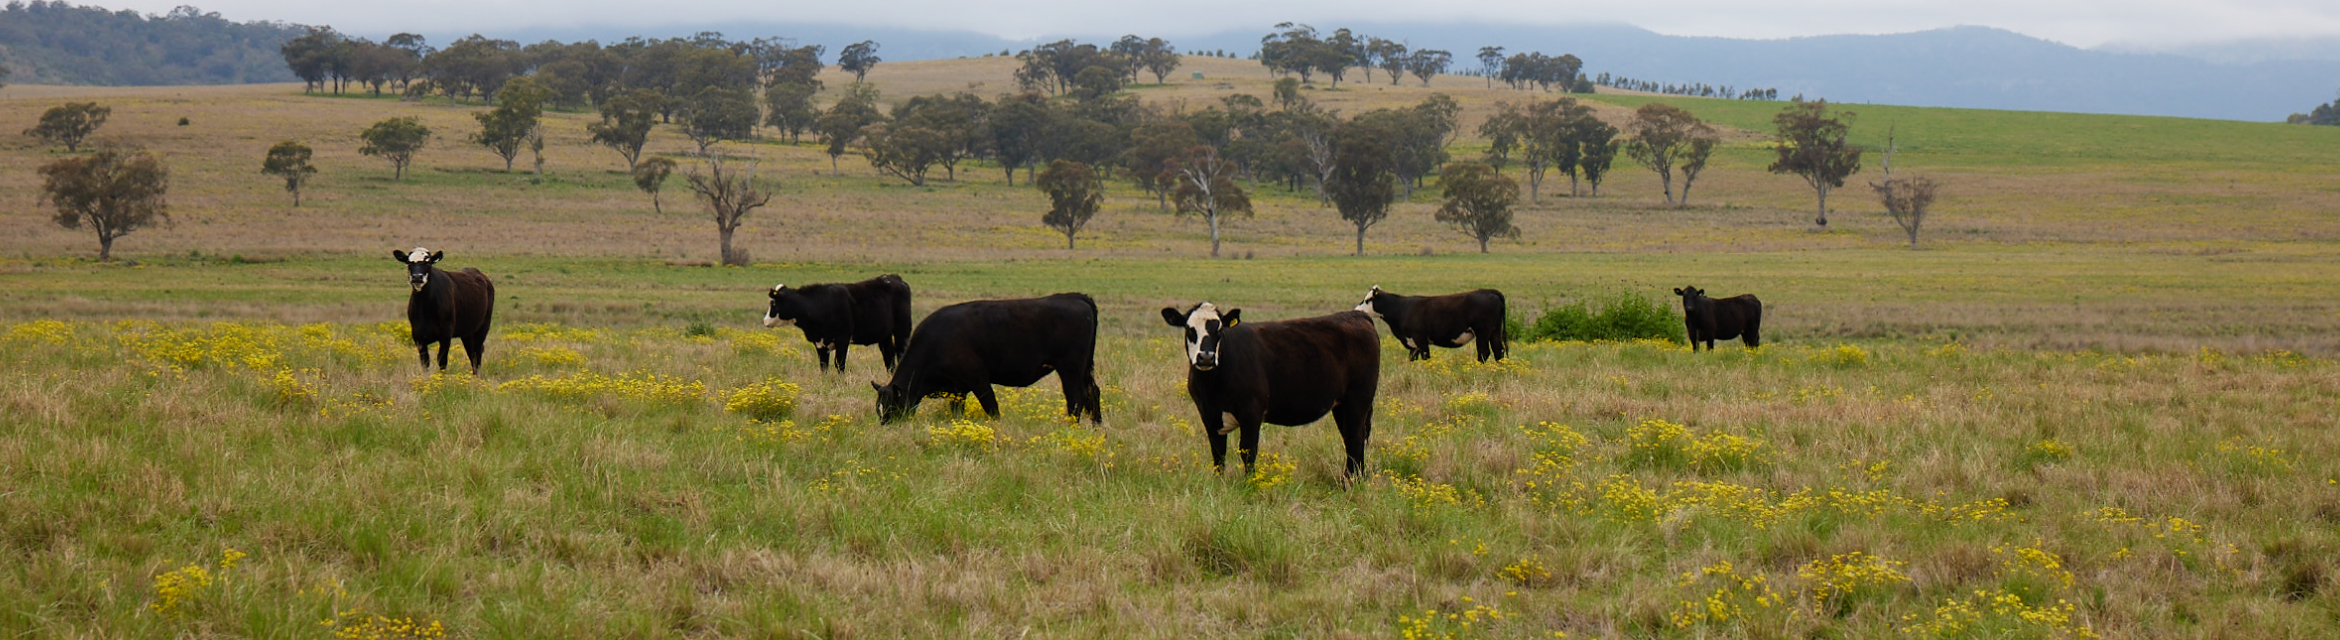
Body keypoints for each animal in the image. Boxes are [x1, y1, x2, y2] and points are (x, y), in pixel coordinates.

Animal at [762, 274, 913, 373]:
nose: (765, 321)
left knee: (900, 351)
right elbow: (823, 366)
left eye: (773, 303)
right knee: (888, 355)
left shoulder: (843, 339)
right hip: (885, 335)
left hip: (902, 330)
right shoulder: (820, 343)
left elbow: (839, 364)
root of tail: (894, 278)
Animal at [871, 293, 1103, 424]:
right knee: (1093, 392)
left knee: (1076, 397)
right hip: (1084, 369)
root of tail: (1075, 297)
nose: (886, 425)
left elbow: (992, 408)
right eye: (878, 409)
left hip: (1070, 369)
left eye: (892, 407)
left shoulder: (979, 380)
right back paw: (1096, 425)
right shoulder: (957, 391)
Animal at [1160, 303, 1380, 477]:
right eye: (1190, 329)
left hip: (1358, 400)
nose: (1205, 356)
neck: (1212, 387)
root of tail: (1358, 316)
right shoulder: (1209, 415)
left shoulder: (1252, 410)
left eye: (1219, 331)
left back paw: (1349, 482)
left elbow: (1247, 450)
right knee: (1351, 439)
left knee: (1355, 439)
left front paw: (1249, 484)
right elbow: (1218, 454)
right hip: (1341, 405)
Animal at [1353, 285, 1509, 362]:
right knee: (1498, 351)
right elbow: (1412, 359)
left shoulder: (1420, 339)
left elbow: (1426, 357)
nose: (1356, 310)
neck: (1401, 308)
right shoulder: (1413, 344)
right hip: (1495, 331)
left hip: (1483, 332)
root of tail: (1491, 291)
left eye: (1367, 300)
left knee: (1484, 352)